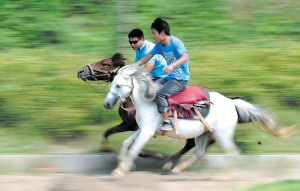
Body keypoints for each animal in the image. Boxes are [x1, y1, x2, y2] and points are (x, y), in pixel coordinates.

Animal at [77, 53, 213, 166]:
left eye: (104, 63)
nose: (80, 71)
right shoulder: (128, 124)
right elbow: (107, 132)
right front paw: (107, 151)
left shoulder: (141, 127)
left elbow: (135, 147)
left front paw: (156, 155)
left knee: (192, 143)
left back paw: (171, 162)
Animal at [103, 65, 296, 178]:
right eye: (112, 83)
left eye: (118, 85)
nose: (107, 104)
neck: (147, 101)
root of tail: (231, 103)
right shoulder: (141, 129)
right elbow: (126, 143)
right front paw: (120, 164)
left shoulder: (147, 132)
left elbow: (134, 149)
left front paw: (121, 170)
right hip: (204, 133)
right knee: (200, 152)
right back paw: (177, 168)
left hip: (222, 135)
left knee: (232, 153)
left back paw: (226, 175)